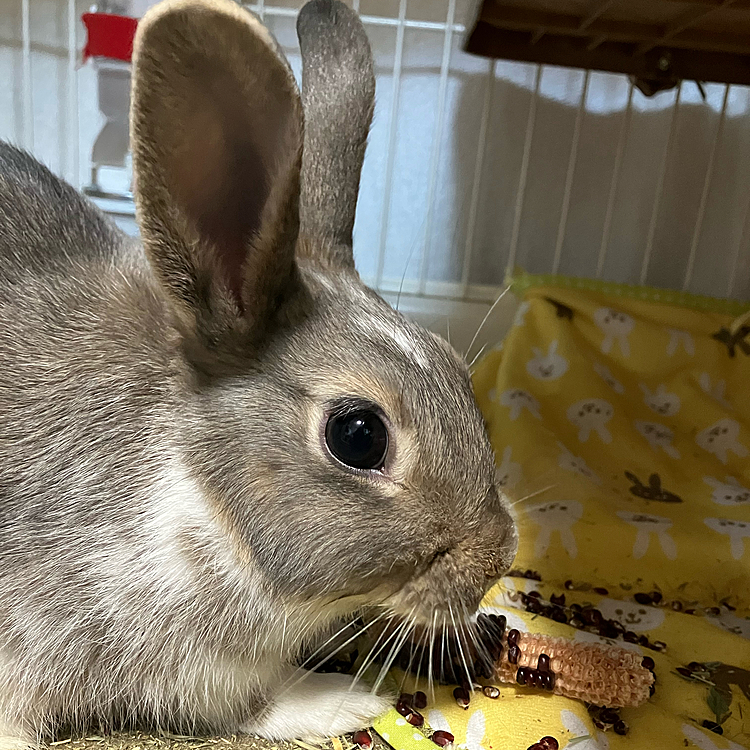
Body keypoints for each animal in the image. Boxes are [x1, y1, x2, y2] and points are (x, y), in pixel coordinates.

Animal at [0, 0, 520, 748]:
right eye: (359, 435)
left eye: (454, 367)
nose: (497, 558)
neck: (204, 496)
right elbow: (257, 704)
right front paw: (342, 702)